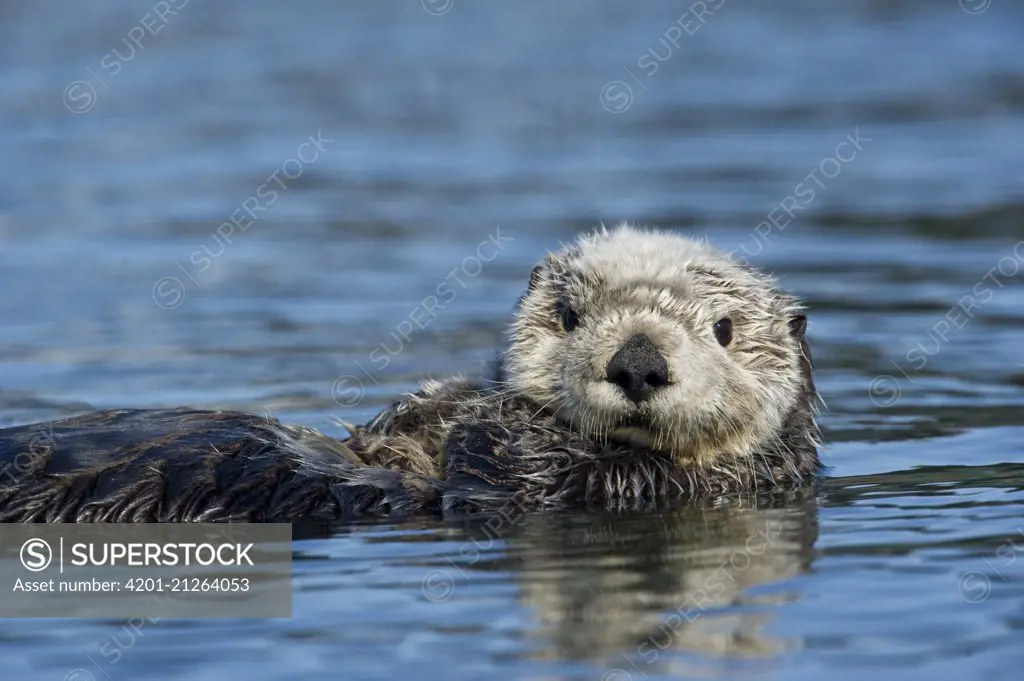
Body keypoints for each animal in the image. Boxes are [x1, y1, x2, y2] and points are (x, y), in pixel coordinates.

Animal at [0, 225, 819, 522]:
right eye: (568, 315)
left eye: (724, 330)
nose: (639, 363)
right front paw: (436, 401)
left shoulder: (622, 486)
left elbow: (498, 467)